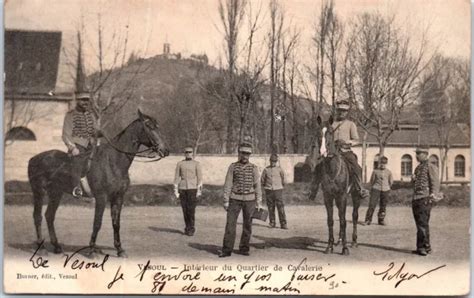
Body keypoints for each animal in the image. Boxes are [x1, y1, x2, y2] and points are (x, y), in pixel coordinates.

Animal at [27, 110, 168, 258]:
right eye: (149, 126)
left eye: (157, 126)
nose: (165, 150)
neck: (113, 161)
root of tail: (33, 158)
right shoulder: (101, 197)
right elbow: (97, 223)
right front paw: (91, 250)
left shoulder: (118, 197)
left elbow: (116, 224)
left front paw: (119, 249)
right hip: (39, 192)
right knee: (37, 216)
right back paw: (41, 248)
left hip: (56, 193)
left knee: (49, 216)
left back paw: (57, 246)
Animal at [310, 115, 362, 255]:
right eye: (317, 132)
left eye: (330, 132)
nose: (322, 152)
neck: (332, 169)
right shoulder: (328, 196)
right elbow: (331, 220)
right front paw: (329, 246)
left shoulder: (342, 196)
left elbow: (343, 221)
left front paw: (345, 248)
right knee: (340, 215)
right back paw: (339, 240)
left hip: (355, 195)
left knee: (354, 216)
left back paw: (354, 242)